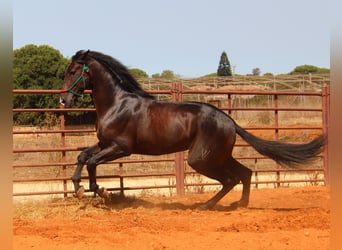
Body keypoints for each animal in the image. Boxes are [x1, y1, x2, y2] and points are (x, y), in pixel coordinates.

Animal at [60, 49, 326, 209]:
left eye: (72, 71)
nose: (63, 100)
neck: (117, 104)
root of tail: (229, 121)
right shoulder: (104, 144)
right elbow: (82, 156)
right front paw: (78, 188)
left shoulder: (121, 148)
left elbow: (92, 162)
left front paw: (101, 191)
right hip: (218, 156)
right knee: (245, 173)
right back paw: (239, 205)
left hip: (201, 159)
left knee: (231, 179)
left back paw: (206, 205)